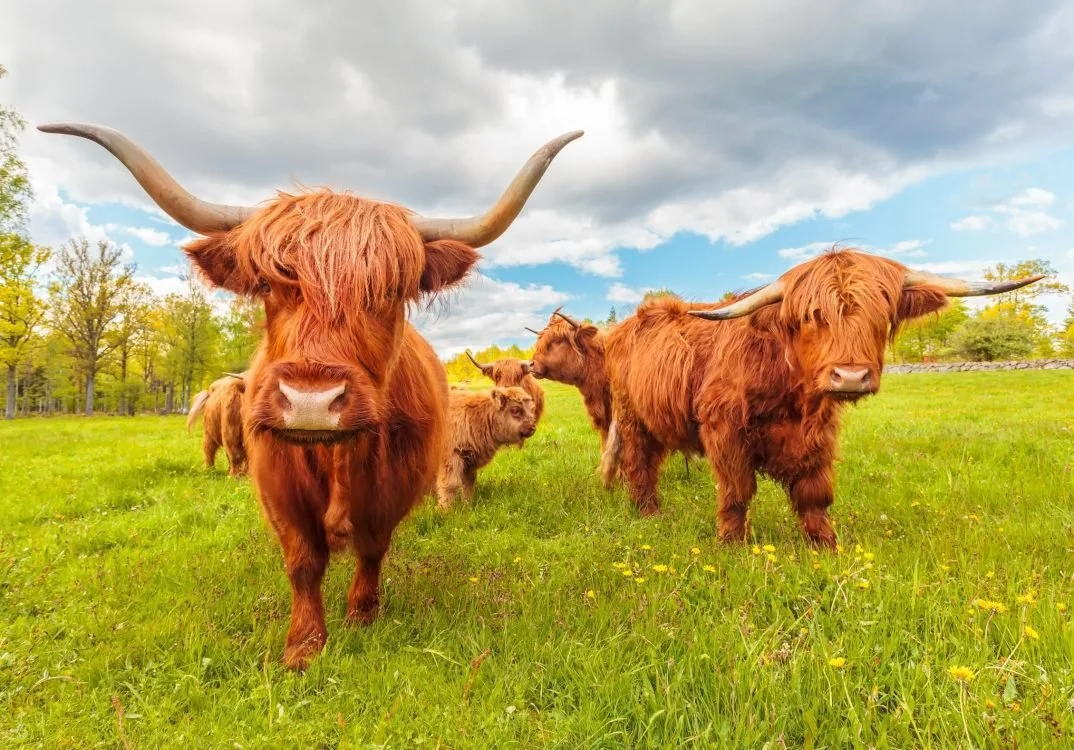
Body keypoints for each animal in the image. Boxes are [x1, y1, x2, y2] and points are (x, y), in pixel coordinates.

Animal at [40, 121, 581, 669]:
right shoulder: (277, 483)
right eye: (267, 284)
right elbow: (302, 561)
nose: (311, 402)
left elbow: (372, 547)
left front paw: (362, 614)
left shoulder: (396, 483)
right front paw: (303, 646)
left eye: (391, 291)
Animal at [600, 249, 1042, 548]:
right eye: (812, 316)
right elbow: (737, 491)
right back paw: (648, 513)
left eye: (880, 314)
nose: (851, 376)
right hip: (631, 417)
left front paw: (825, 548)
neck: (793, 396)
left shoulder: (819, 434)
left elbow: (815, 495)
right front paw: (731, 544)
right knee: (639, 464)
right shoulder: (723, 428)